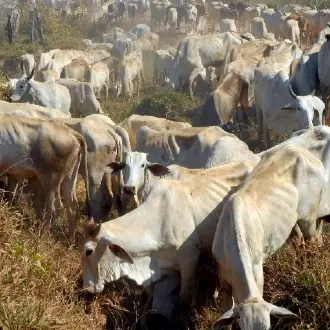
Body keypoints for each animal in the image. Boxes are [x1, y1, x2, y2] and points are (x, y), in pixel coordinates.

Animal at [0, 114, 89, 244]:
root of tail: (73, 133)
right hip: (69, 177)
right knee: (71, 205)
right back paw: (70, 241)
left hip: (50, 178)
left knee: (55, 206)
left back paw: (43, 236)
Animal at [211, 146, 322, 328]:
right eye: (242, 327)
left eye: (268, 326)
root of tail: (302, 151)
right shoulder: (224, 281)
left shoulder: (258, 274)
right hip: (293, 220)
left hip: (309, 219)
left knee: (314, 240)